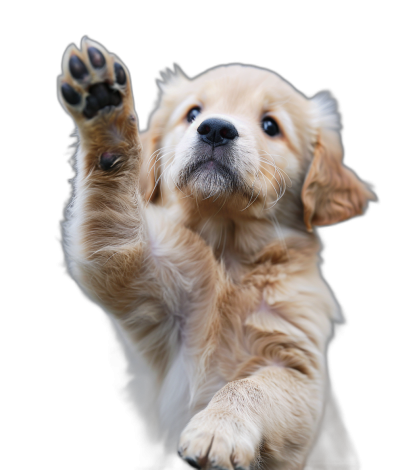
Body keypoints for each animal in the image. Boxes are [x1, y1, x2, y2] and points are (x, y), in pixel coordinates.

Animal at [57, 37, 376, 470]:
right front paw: (104, 109)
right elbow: (112, 226)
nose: (215, 129)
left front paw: (216, 430)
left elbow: (251, 386)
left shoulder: (298, 367)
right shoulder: (136, 270)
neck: (229, 255)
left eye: (271, 126)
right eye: (193, 113)